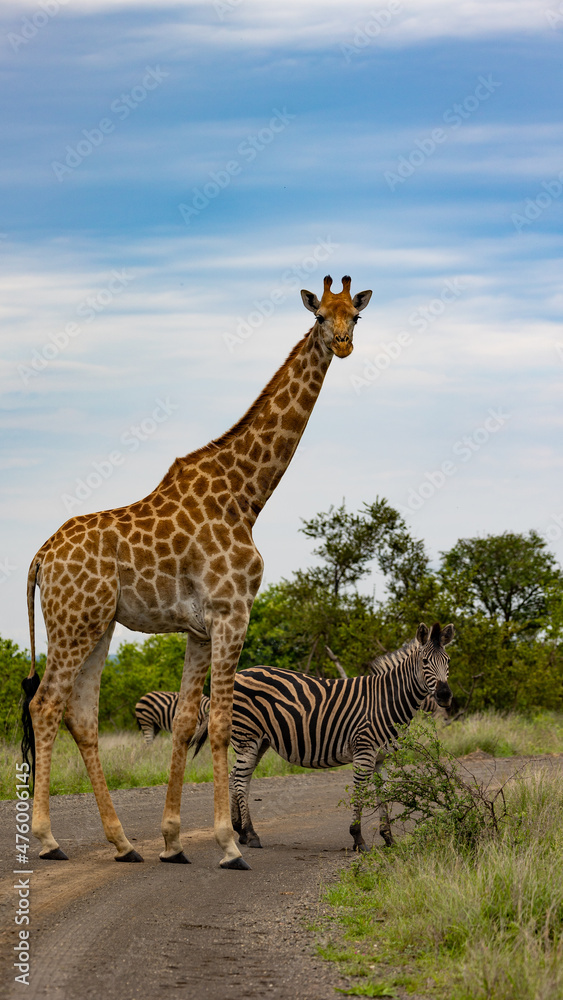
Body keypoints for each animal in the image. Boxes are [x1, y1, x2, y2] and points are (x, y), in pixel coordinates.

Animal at [22, 275, 372, 869]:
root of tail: (41, 557)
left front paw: (171, 842)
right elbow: (222, 723)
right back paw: (48, 840)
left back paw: (123, 844)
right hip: (72, 623)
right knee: (45, 705)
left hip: (98, 625)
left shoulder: (197, 628)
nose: (344, 344)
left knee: (81, 714)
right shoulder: (233, 613)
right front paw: (229, 845)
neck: (246, 495)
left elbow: (187, 722)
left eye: (358, 315)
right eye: (321, 315)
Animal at [191, 621, 454, 851]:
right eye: (425, 661)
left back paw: (240, 831)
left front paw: (389, 839)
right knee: (240, 779)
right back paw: (251, 834)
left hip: (260, 741)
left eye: (448, 661)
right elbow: (360, 792)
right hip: (247, 737)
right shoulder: (364, 751)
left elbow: (384, 794)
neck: (384, 701)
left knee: (235, 777)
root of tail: (237, 675)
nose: (445, 696)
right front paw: (358, 839)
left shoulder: (382, 757)